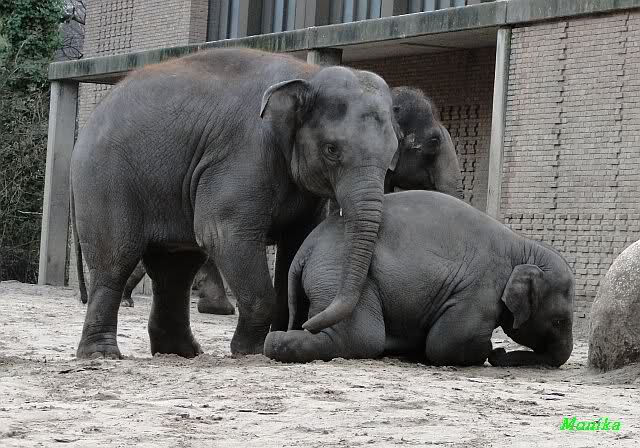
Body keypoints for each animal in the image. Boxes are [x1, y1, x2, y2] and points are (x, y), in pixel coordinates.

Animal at [70, 48, 398, 359]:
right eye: (332, 149)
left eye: (393, 153)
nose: (307, 326)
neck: (308, 74)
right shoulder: (245, 153)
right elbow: (224, 234)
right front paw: (250, 351)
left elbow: (298, 242)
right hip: (106, 180)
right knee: (116, 259)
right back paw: (102, 354)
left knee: (175, 269)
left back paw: (181, 352)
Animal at [264, 191, 575, 367]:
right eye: (559, 321)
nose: (500, 354)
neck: (523, 246)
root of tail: (306, 249)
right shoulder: (480, 290)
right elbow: (446, 343)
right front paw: (489, 351)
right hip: (337, 273)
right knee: (361, 338)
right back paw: (277, 341)